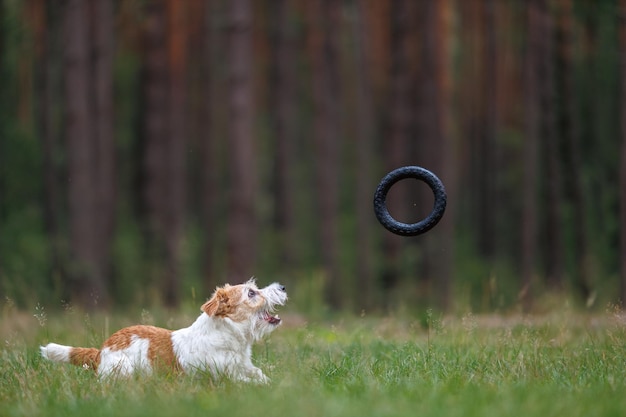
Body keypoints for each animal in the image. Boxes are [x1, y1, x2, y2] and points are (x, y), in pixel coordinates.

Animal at [40, 278, 288, 382]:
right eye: (251, 293)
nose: (283, 287)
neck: (228, 336)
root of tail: (101, 351)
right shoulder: (225, 377)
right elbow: (249, 382)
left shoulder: (245, 367)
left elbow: (261, 376)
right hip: (124, 370)